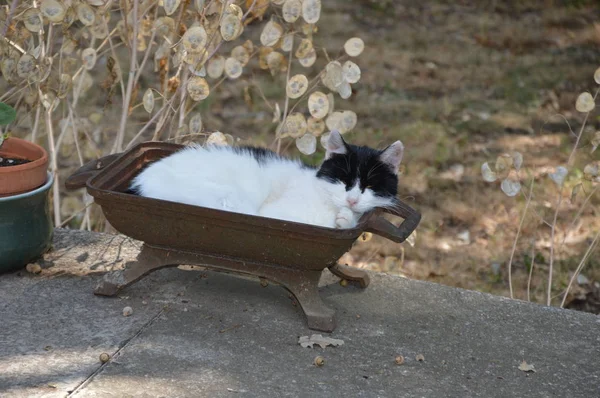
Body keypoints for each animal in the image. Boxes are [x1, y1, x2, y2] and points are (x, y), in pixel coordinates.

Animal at [131, 131, 404, 229]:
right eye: (343, 181)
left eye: (369, 186)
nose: (352, 199)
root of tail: (142, 179)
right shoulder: (274, 213)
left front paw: (347, 218)